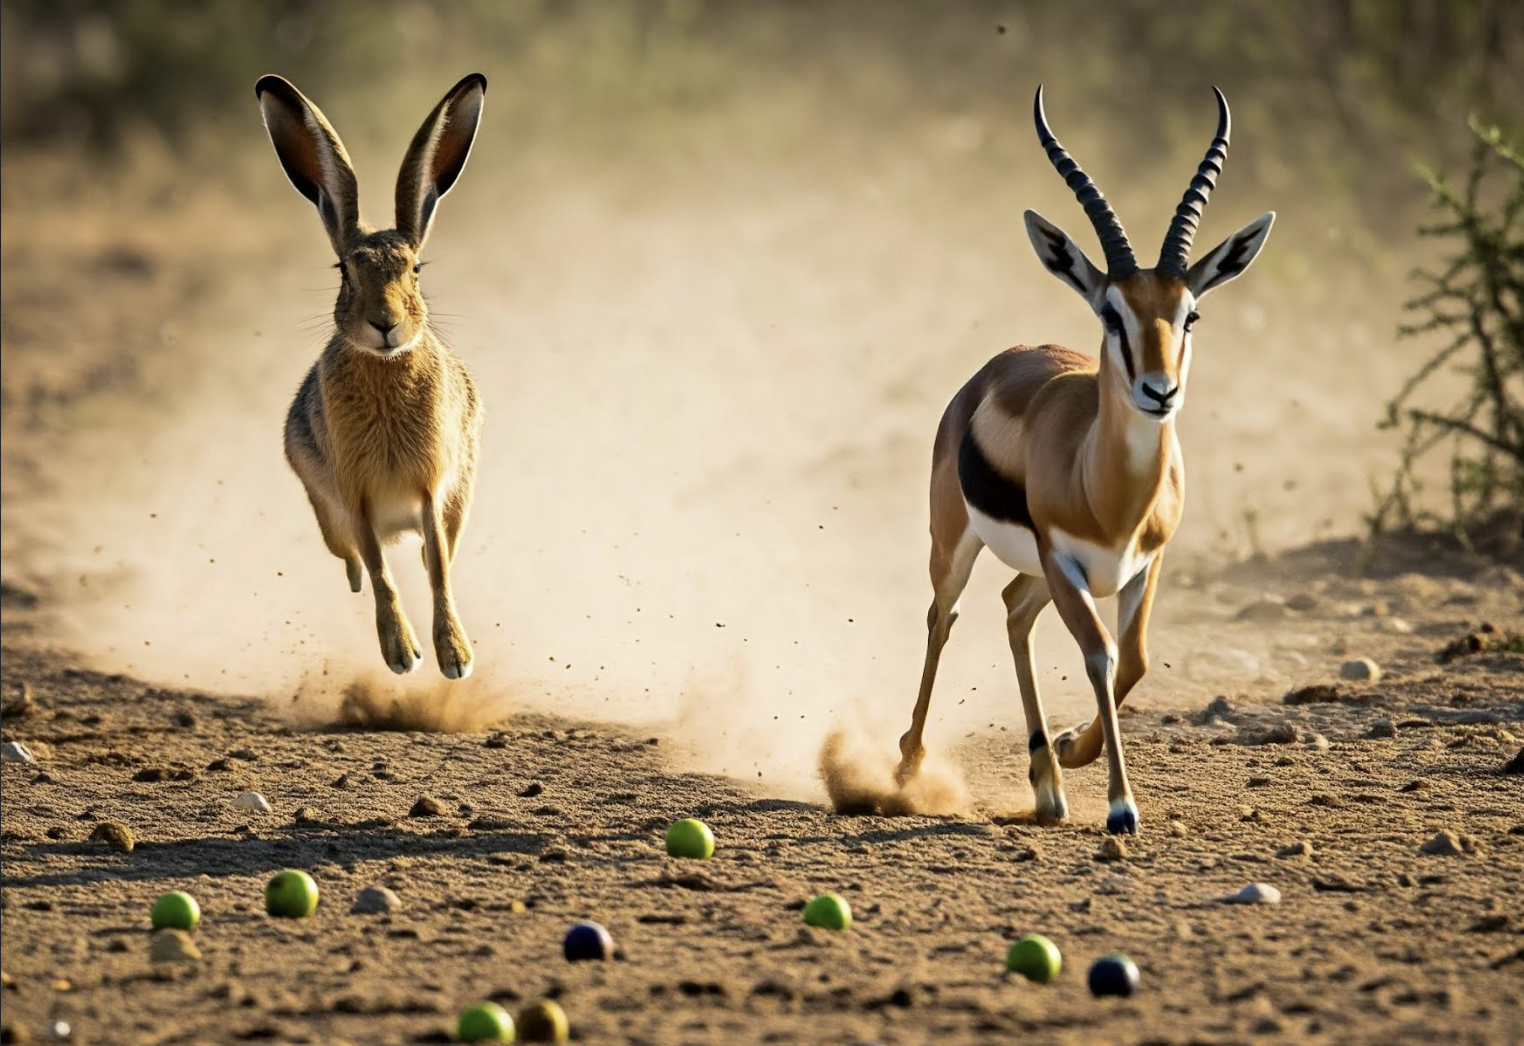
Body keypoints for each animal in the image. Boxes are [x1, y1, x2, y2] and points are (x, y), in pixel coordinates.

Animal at [255, 73, 487, 680]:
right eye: (344, 270)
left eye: (415, 269)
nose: (385, 324)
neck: (385, 368)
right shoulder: (353, 494)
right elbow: (382, 570)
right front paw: (402, 654)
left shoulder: (433, 490)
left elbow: (440, 571)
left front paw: (454, 656)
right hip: (329, 518)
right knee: (356, 562)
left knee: (430, 553)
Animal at [895, 87, 1274, 834]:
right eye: (1110, 312)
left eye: (1189, 314)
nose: (1160, 391)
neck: (1108, 495)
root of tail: (999, 364)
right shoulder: (1065, 560)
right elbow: (1100, 655)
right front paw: (1122, 806)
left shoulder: (1142, 566)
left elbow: (1134, 662)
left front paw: (1073, 750)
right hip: (959, 547)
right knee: (943, 616)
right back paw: (908, 766)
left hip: (1039, 575)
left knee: (1013, 610)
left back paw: (1048, 783)